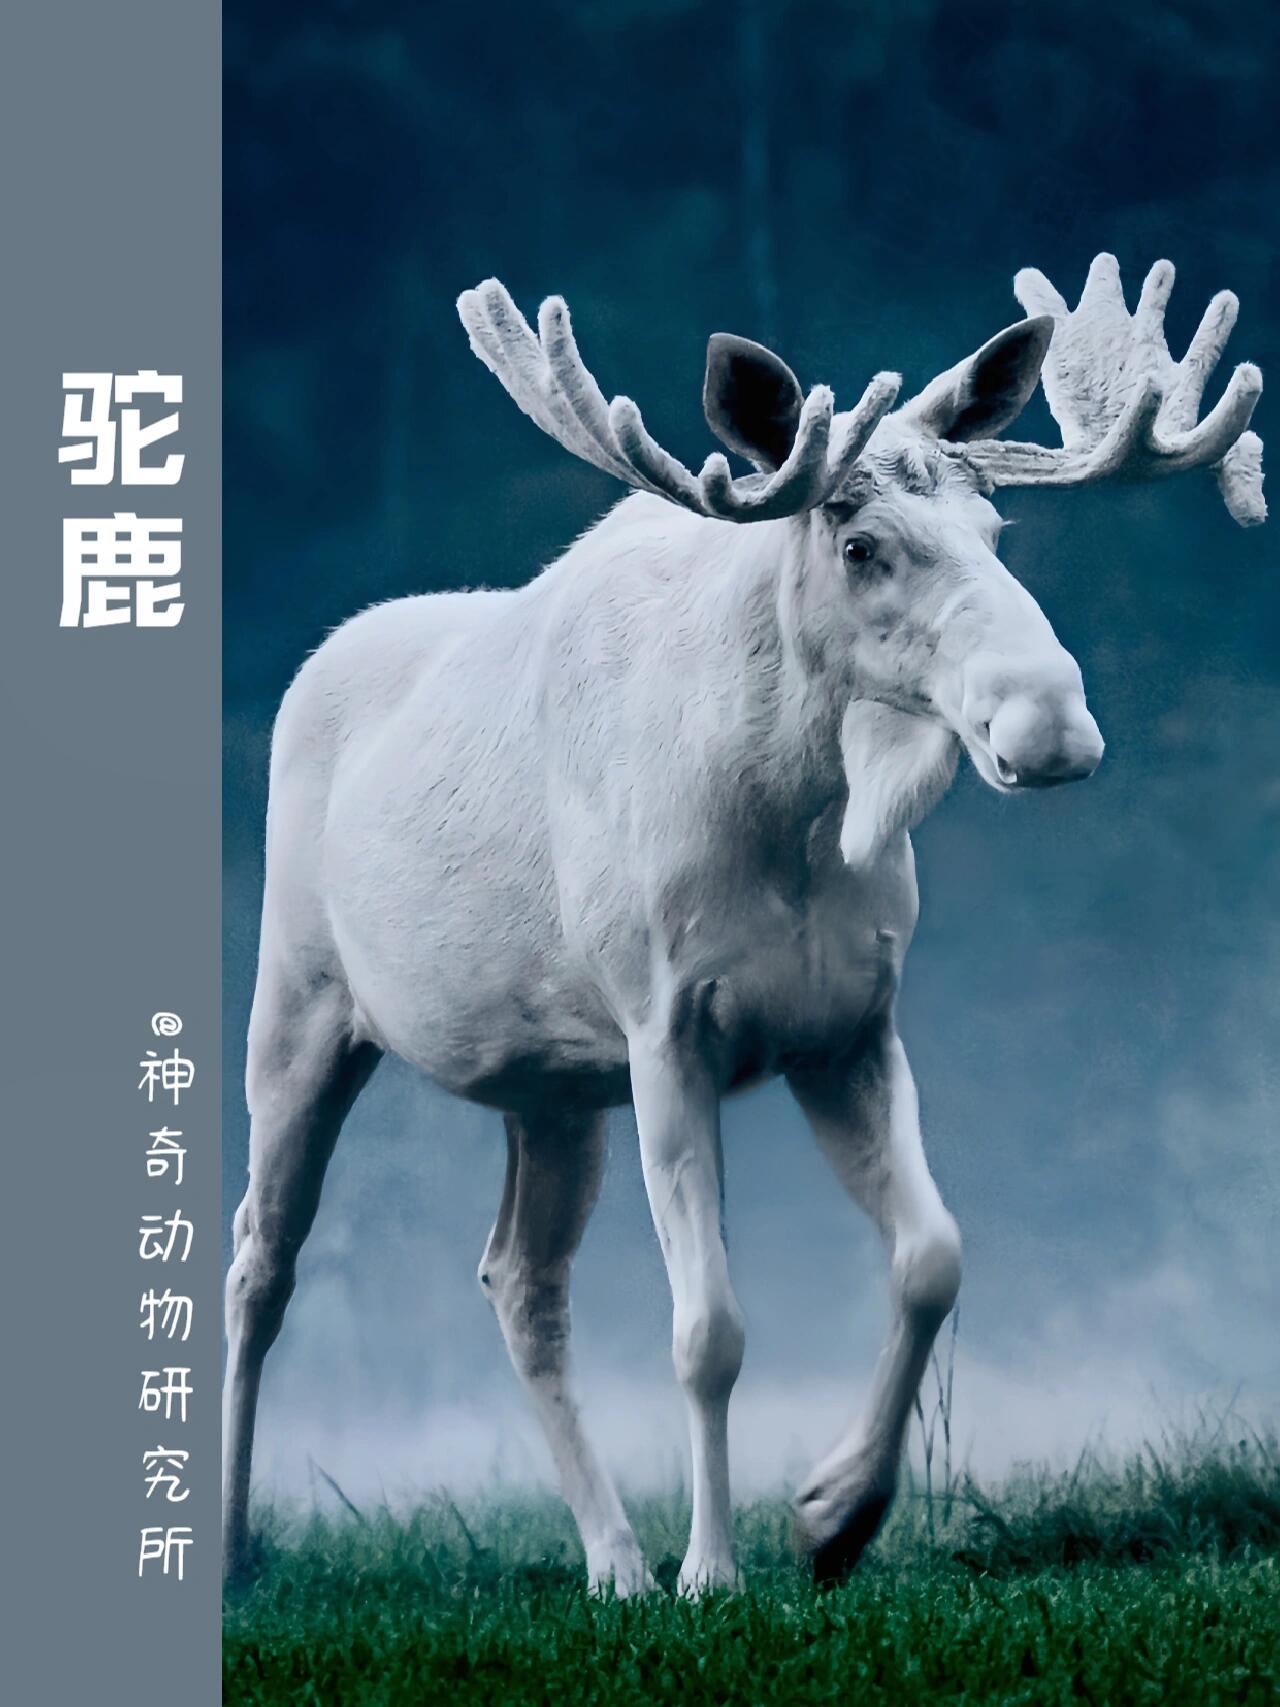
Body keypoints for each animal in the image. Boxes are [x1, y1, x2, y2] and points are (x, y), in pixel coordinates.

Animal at [223, 254, 1264, 1595]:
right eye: (860, 541)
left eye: (995, 531)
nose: (1048, 724)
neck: (790, 817)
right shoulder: (668, 1030)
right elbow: (707, 1330)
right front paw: (712, 1571)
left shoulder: (847, 1029)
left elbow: (933, 1258)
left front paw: (834, 1514)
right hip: (300, 1009)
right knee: (261, 1261)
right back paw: (238, 1548)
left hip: (552, 1087)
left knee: (519, 1280)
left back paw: (612, 1559)